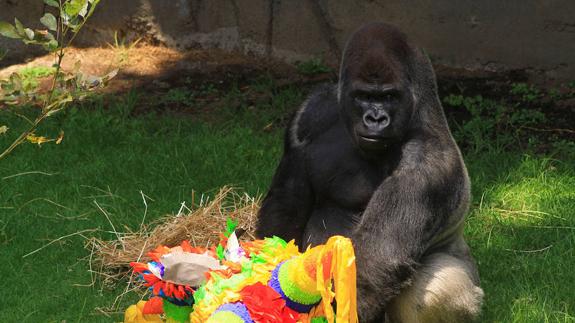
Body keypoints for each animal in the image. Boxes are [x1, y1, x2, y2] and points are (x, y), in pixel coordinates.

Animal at [256, 22, 486, 322]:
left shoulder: (428, 164)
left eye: (388, 97)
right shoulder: (310, 112)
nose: (376, 119)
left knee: (435, 289)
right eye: (364, 96)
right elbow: (286, 206)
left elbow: (376, 260)